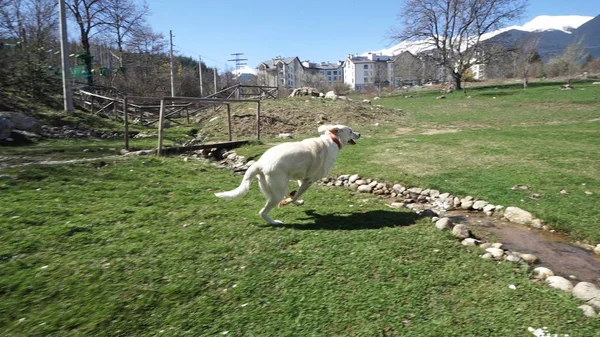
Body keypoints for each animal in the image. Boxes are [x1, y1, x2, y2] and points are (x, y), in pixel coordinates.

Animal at [216, 124, 360, 223]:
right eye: (351, 131)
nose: (359, 133)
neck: (331, 140)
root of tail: (260, 163)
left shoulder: (303, 179)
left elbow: (295, 194)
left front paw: (294, 201)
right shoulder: (309, 181)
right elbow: (295, 196)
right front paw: (288, 202)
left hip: (280, 184)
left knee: (286, 194)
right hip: (277, 192)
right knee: (263, 212)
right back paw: (275, 222)